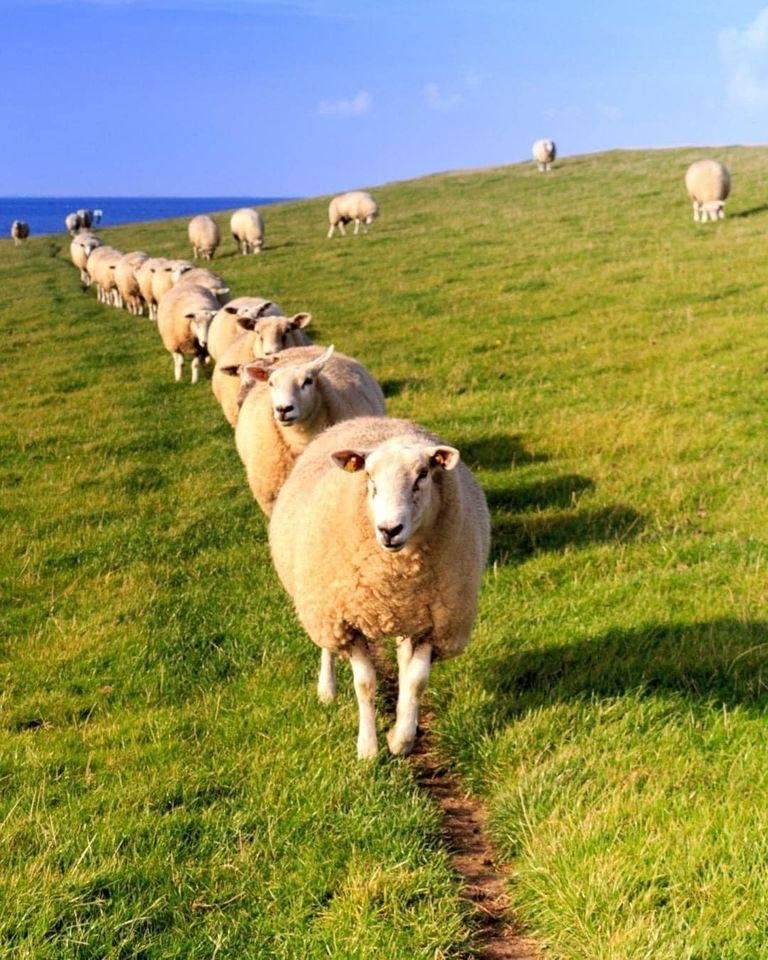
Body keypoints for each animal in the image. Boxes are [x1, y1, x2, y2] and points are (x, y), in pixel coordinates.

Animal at [268, 416, 490, 758]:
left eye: (423, 474)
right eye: (369, 476)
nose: (389, 530)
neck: (396, 576)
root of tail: (371, 420)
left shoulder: (434, 625)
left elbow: (415, 682)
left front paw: (400, 738)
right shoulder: (347, 622)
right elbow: (365, 684)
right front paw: (368, 749)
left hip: (406, 615)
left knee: (402, 661)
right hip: (320, 602)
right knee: (326, 647)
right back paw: (326, 690)